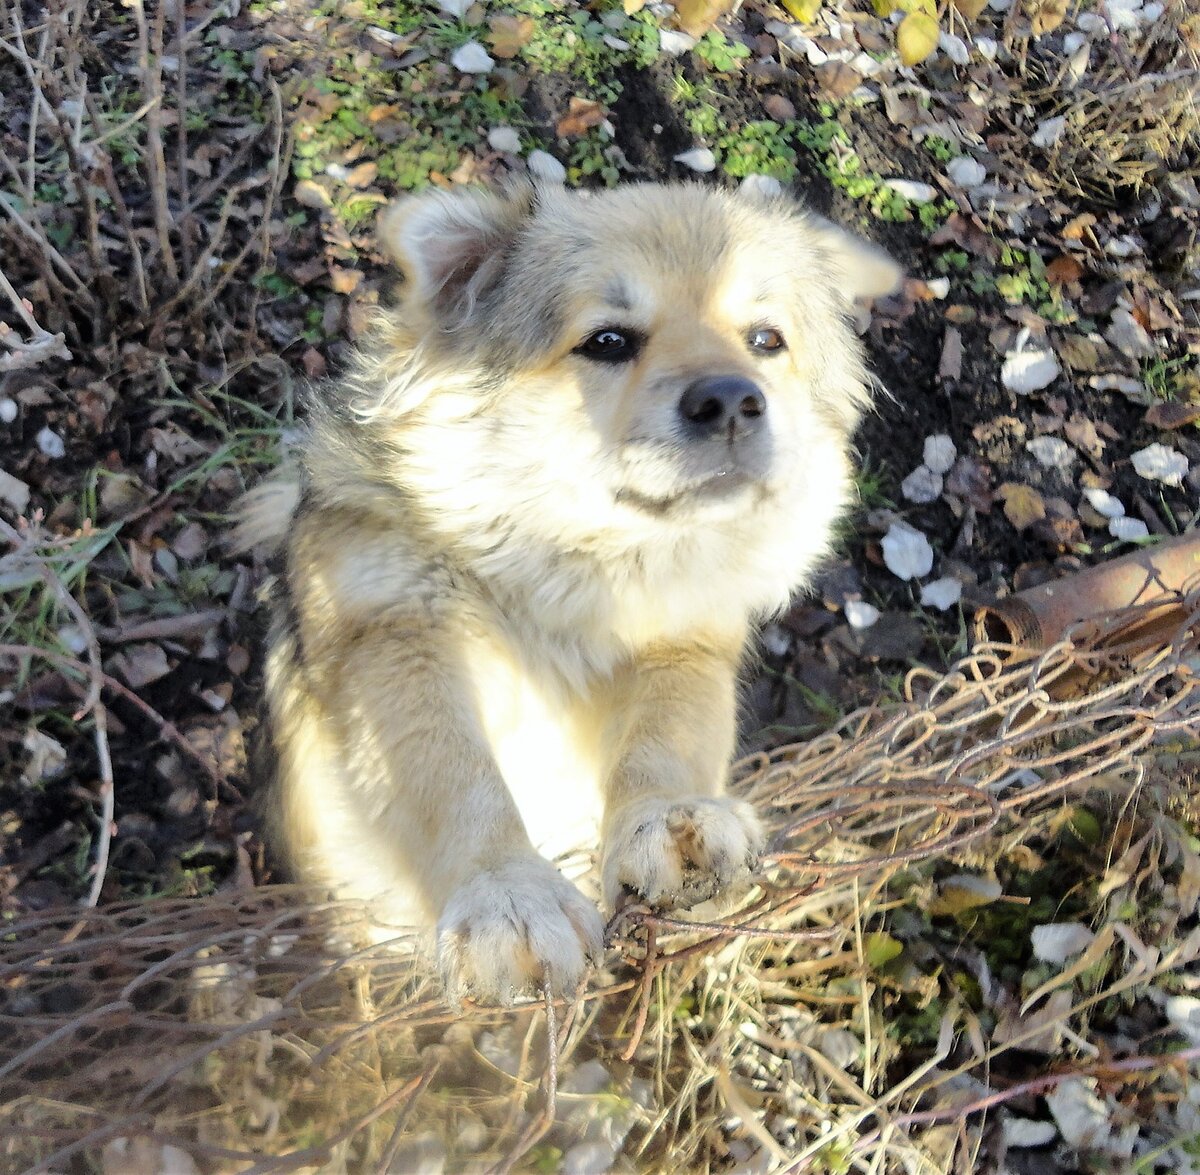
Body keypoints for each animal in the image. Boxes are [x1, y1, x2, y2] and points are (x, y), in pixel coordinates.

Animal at [238, 181, 897, 1003]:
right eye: (608, 341)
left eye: (766, 340)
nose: (733, 401)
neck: (566, 570)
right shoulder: (394, 632)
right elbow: (452, 772)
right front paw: (507, 893)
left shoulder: (685, 641)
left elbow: (667, 733)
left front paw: (666, 820)